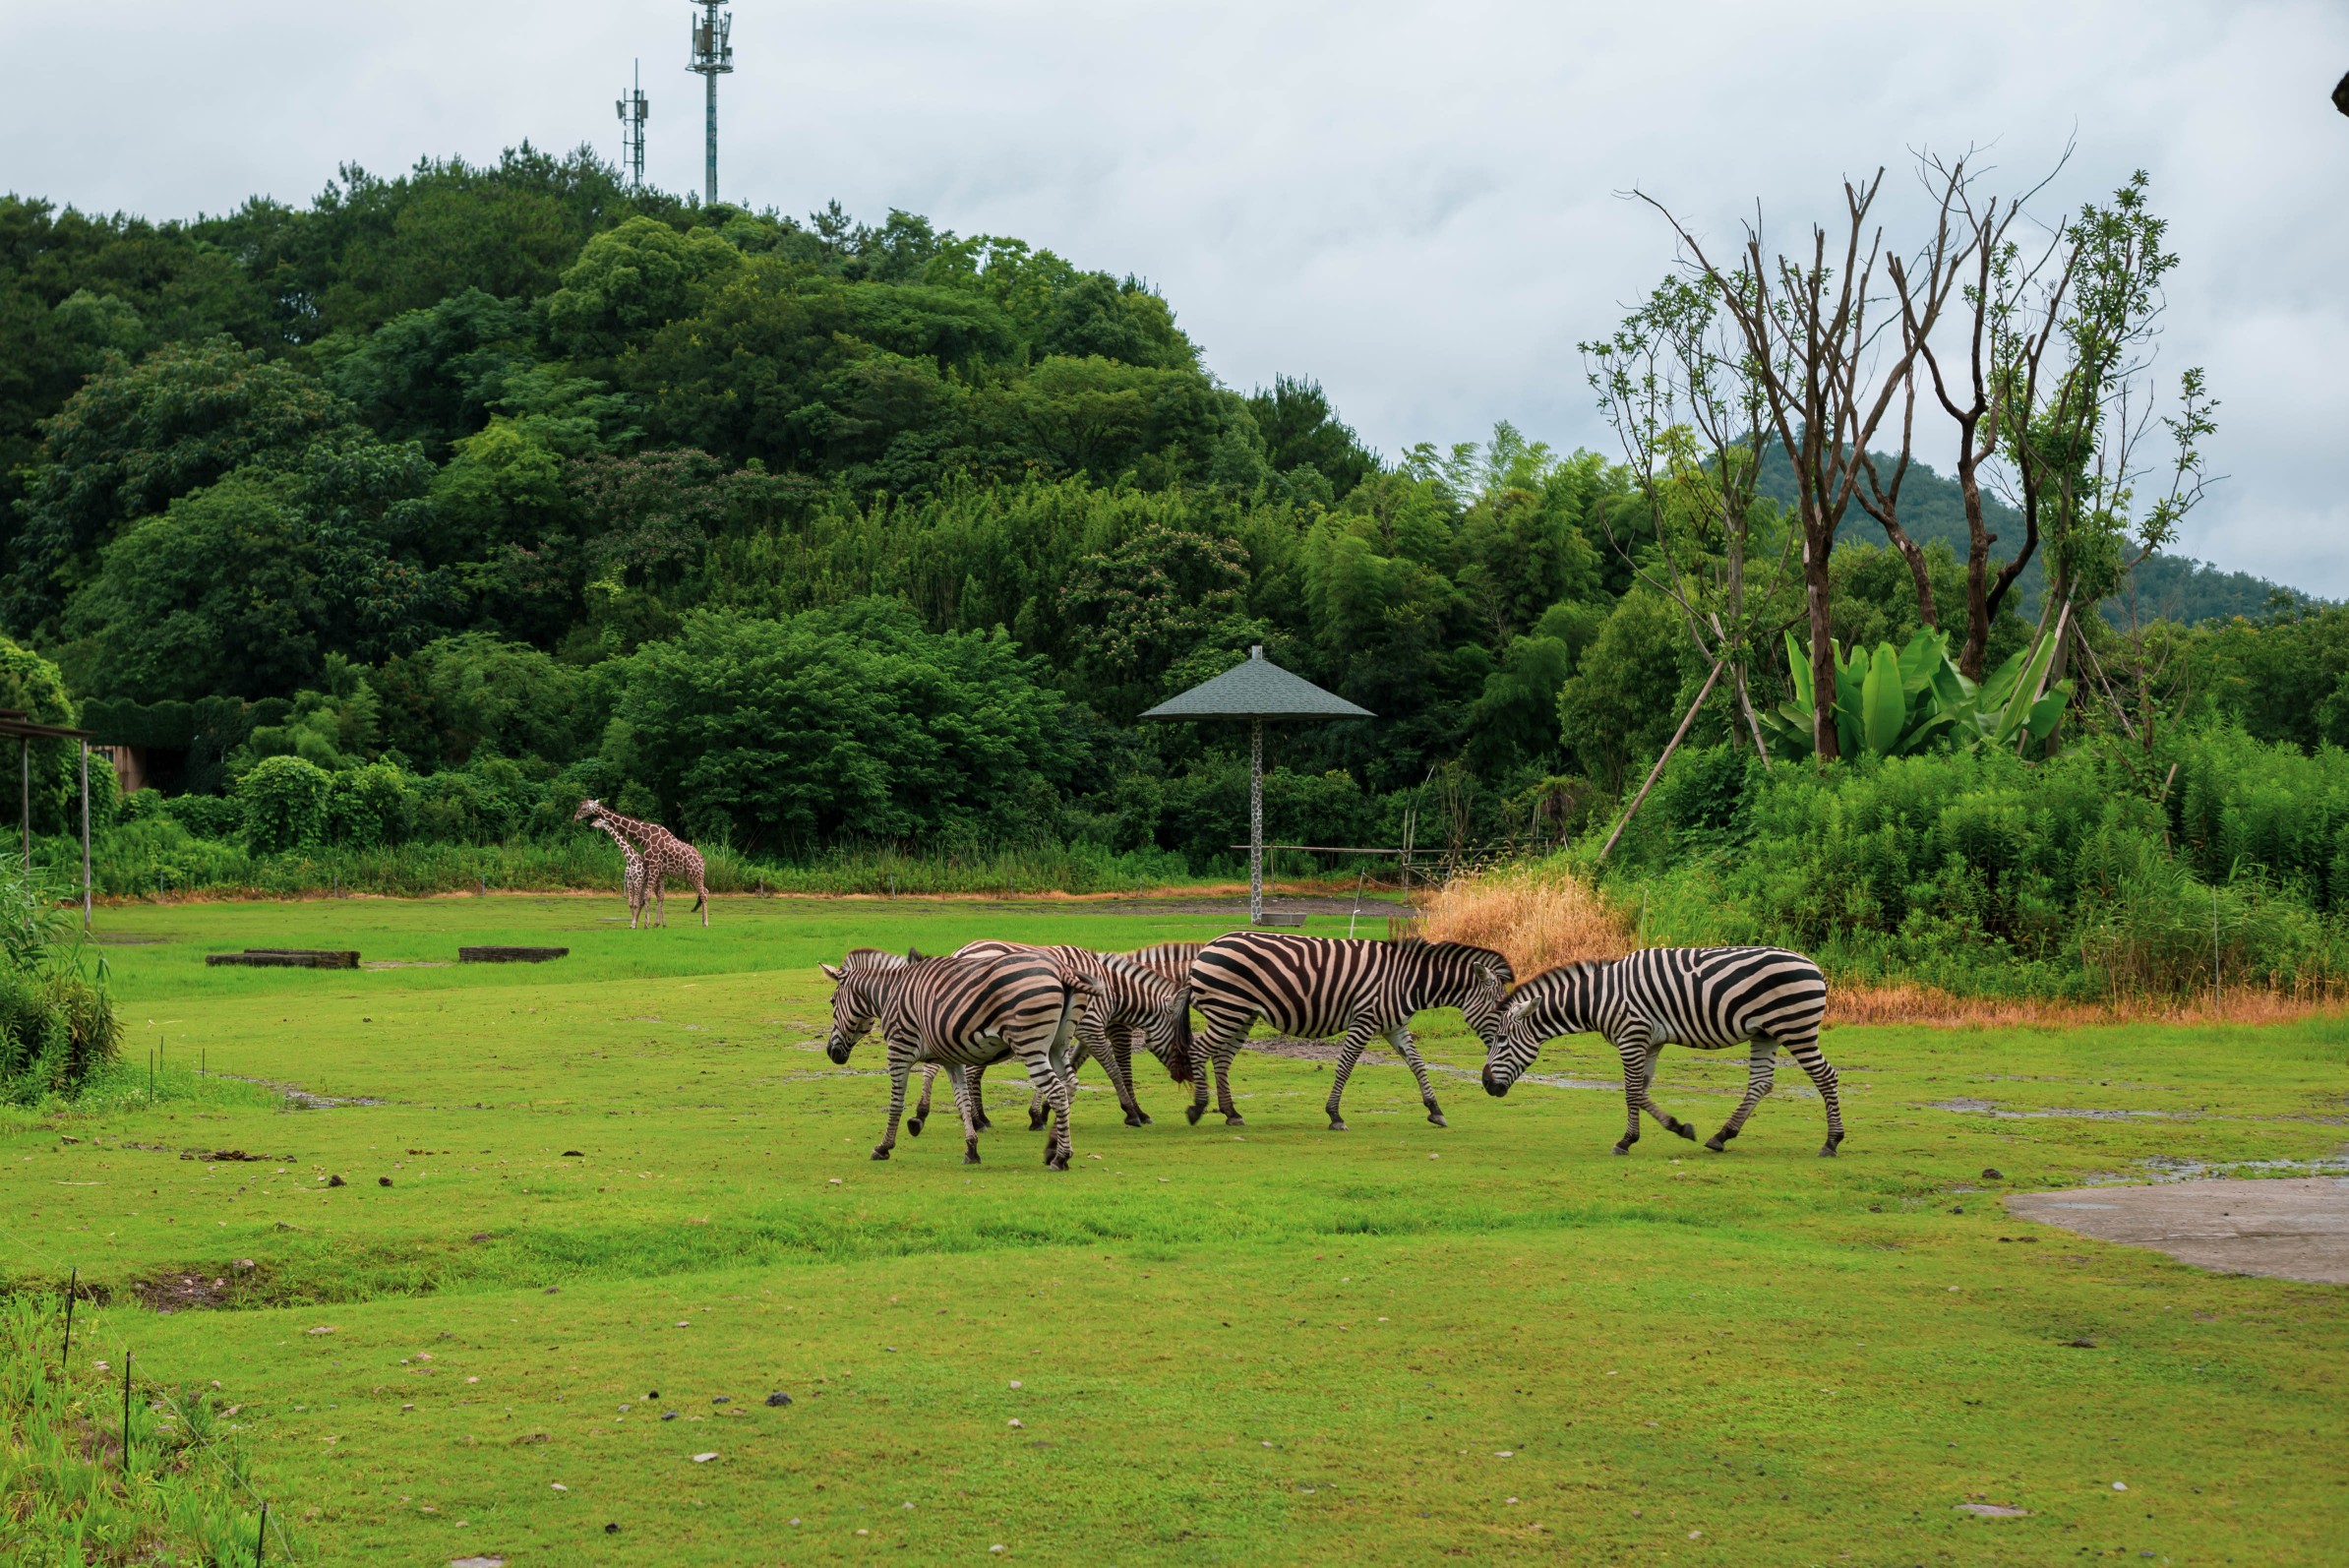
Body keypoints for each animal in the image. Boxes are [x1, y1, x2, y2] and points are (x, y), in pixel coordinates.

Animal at [575, 803, 709, 925]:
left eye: (584, 807)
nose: (576, 818)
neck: (645, 837)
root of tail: (703, 861)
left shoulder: (649, 870)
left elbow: (644, 897)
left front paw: (643, 923)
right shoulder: (644, 875)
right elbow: (643, 899)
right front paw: (642, 923)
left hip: (695, 874)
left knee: (703, 894)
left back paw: (705, 923)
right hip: (688, 876)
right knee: (703, 891)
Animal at [821, 943, 1085, 1164]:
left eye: (832, 1002)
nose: (831, 1053)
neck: (890, 993)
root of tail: (1061, 970)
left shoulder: (899, 1049)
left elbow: (896, 1101)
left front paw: (884, 1147)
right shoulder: (951, 1058)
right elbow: (962, 1101)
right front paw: (971, 1148)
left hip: (1030, 1045)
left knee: (1057, 1091)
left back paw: (1060, 1157)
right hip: (1058, 1045)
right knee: (1070, 1084)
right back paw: (1052, 1146)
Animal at [901, 938, 1193, 1131]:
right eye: (1184, 1041)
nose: (1187, 1078)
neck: (1114, 988)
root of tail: (961, 950)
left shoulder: (1079, 1032)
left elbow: (1071, 1066)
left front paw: (1040, 1113)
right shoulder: (1096, 1027)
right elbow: (1117, 1070)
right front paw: (1134, 1113)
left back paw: (938, 1115)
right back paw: (965, 1118)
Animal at [1183, 938, 1512, 1131]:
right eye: (1501, 1010)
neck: (1409, 981)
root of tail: (1206, 947)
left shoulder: (1394, 1026)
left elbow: (1418, 1064)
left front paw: (1435, 1110)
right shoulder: (1364, 1019)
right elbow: (1346, 1066)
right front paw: (1335, 1115)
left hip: (1241, 1013)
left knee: (1222, 1058)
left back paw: (1231, 1112)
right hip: (1228, 1009)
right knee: (1199, 1050)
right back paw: (1197, 1108)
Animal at [1475, 943, 1841, 1150]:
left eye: (1501, 1040)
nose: (1486, 1084)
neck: (1599, 997)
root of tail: (1814, 967)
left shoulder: (1631, 1035)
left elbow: (1631, 1091)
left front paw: (1625, 1141)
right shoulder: (1649, 1041)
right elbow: (1641, 1090)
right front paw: (1680, 1128)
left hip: (1794, 1027)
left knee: (1826, 1077)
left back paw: (1832, 1142)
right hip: (1765, 1032)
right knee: (1761, 1084)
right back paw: (1721, 1136)